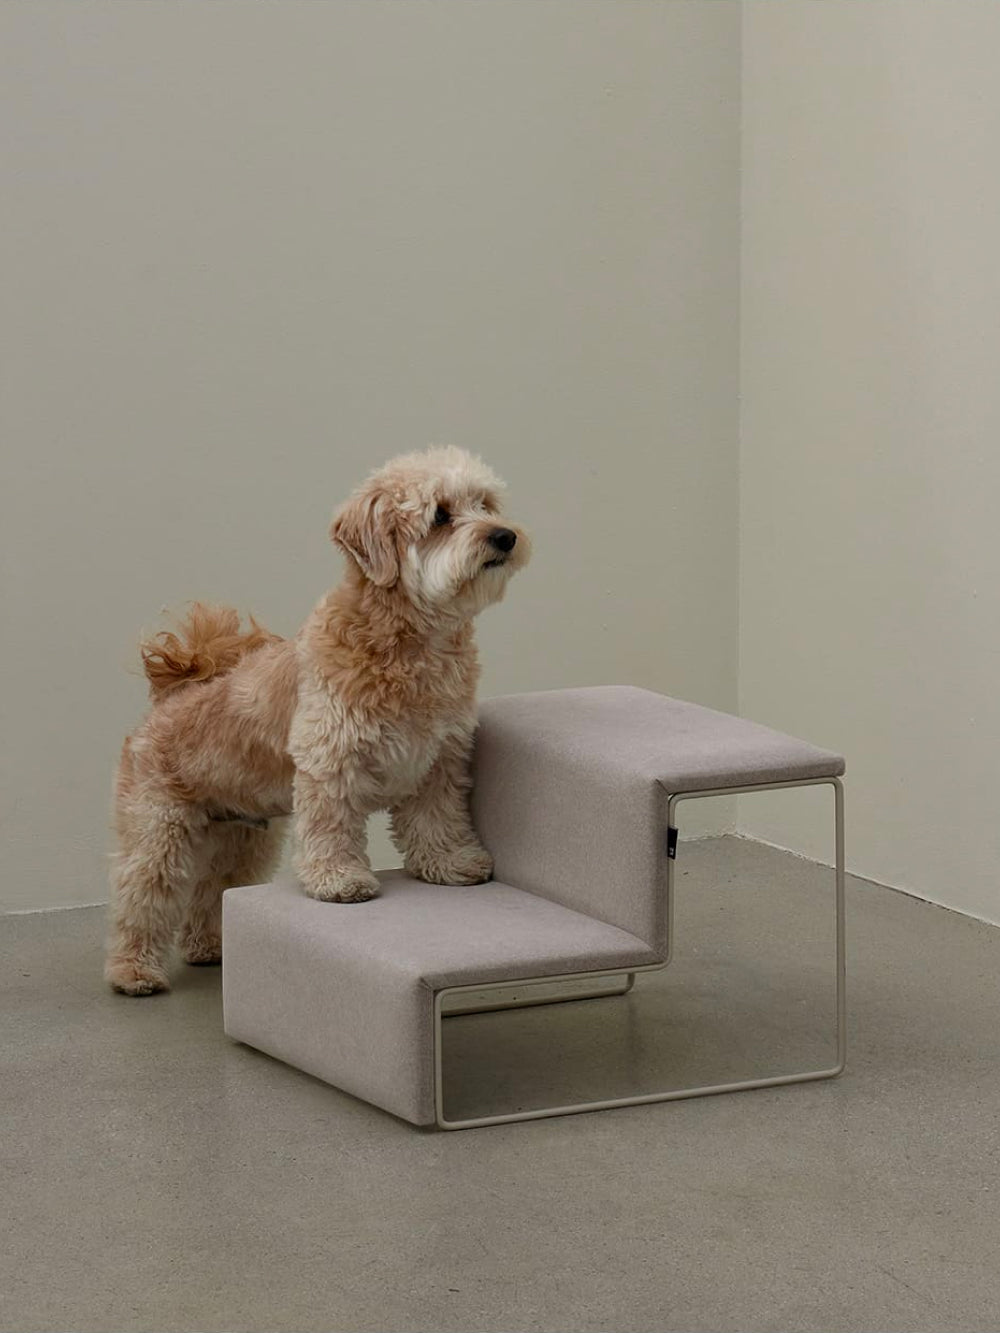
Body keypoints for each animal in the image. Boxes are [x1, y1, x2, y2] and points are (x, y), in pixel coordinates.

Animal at [106, 445, 533, 991]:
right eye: (440, 515)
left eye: (485, 503)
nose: (504, 535)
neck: (409, 647)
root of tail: (167, 701)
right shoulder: (331, 760)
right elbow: (332, 827)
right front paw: (340, 882)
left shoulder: (438, 760)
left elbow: (437, 820)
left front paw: (450, 863)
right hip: (158, 829)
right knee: (141, 898)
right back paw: (133, 971)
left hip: (243, 838)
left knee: (213, 889)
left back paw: (211, 947)